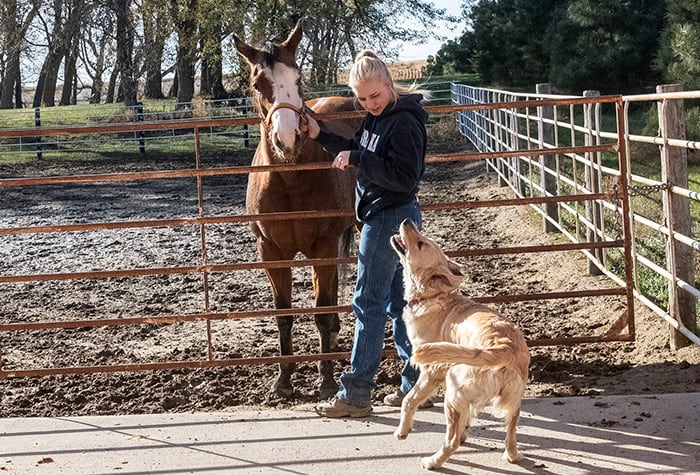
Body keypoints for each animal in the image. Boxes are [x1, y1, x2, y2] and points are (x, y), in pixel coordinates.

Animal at [234, 21, 358, 398]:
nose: (288, 139)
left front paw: (327, 380)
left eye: (299, 78)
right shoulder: (271, 252)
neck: (291, 180)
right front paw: (284, 380)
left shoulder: (323, 247)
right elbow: (284, 314)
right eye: (257, 84)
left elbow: (321, 310)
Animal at [388, 220, 532, 472]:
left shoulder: (431, 371)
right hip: (513, 402)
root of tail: (503, 348)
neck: (433, 296)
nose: (407, 221)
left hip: (453, 392)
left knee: (451, 440)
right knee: (511, 434)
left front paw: (402, 431)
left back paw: (432, 461)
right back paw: (512, 456)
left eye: (421, 243)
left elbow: (409, 400)